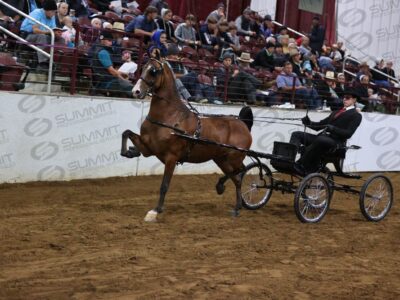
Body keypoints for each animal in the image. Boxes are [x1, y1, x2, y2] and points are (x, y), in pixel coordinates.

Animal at [121, 55, 253, 221]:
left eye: (154, 71)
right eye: (143, 67)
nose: (136, 91)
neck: (169, 117)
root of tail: (243, 124)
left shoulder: (171, 157)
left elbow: (164, 185)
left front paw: (156, 210)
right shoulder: (148, 148)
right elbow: (126, 133)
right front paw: (129, 151)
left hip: (234, 158)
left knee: (241, 172)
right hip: (221, 160)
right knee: (237, 178)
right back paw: (234, 205)